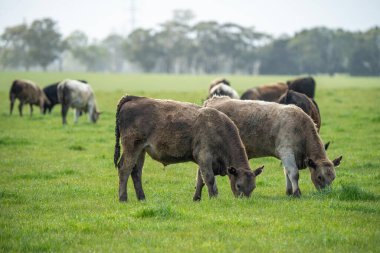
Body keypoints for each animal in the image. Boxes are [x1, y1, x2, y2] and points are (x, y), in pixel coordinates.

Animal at [113, 95, 264, 202]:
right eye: (239, 185)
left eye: (253, 187)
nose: (243, 201)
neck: (219, 130)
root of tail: (134, 98)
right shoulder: (204, 156)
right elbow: (209, 179)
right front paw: (214, 198)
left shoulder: (204, 161)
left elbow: (200, 180)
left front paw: (196, 198)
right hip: (132, 146)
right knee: (124, 168)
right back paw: (123, 198)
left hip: (141, 150)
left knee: (136, 172)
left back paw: (142, 198)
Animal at [206, 96, 342, 197]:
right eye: (320, 177)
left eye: (333, 177)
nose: (327, 193)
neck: (300, 127)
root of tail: (213, 100)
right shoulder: (286, 151)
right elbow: (293, 173)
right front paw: (297, 193)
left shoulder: (287, 156)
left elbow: (287, 172)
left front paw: (289, 192)